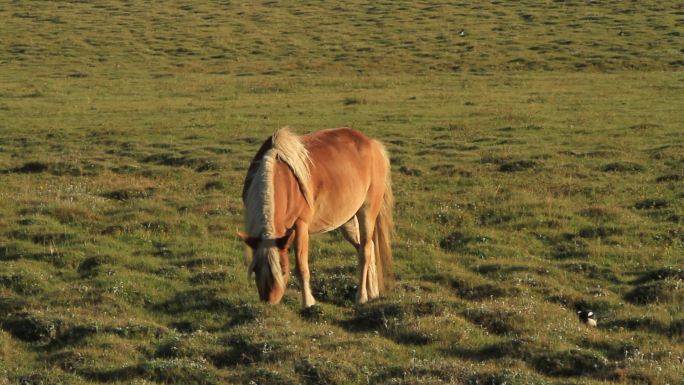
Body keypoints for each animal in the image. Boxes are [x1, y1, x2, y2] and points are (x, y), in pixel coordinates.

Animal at [238, 127, 392, 308]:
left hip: (367, 213)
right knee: (367, 247)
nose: (270, 302)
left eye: (283, 270)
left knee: (365, 252)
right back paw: (372, 292)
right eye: (255, 270)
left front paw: (308, 303)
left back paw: (361, 297)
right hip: (348, 221)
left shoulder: (301, 227)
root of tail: (373, 144)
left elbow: (302, 268)